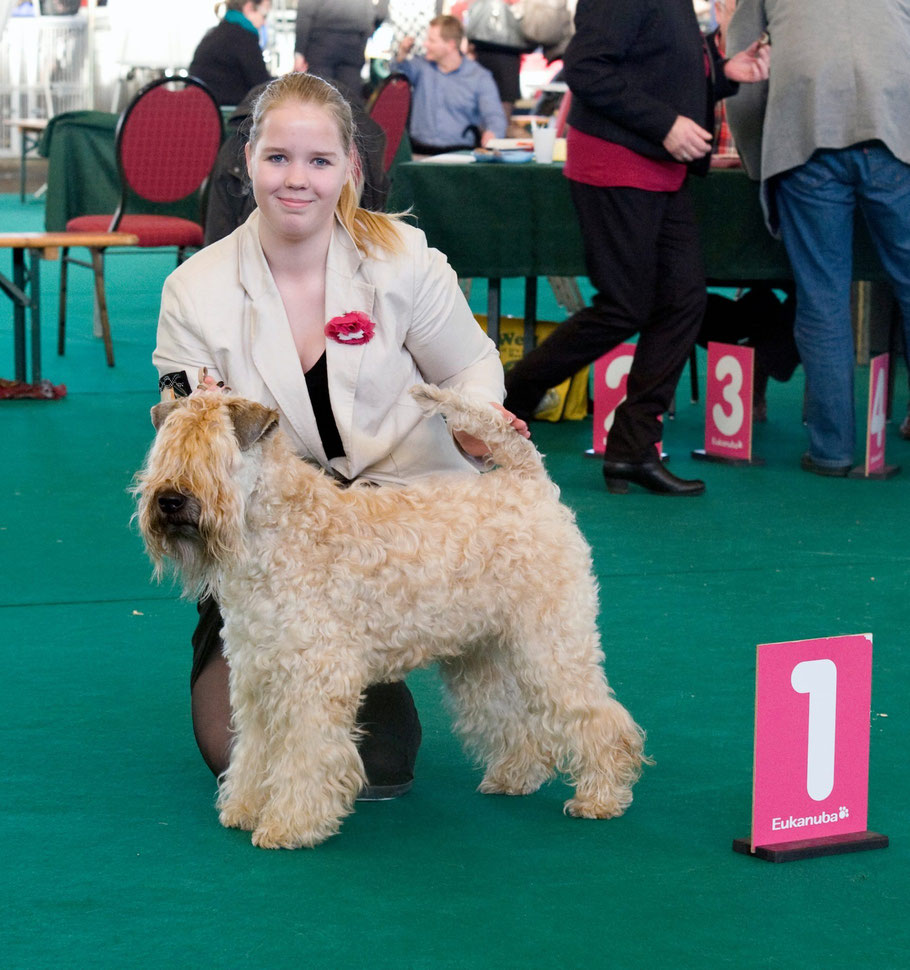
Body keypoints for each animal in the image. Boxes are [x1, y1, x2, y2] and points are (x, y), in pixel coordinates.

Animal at [134, 386, 648, 848]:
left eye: (217, 456)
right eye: (164, 451)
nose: (170, 501)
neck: (277, 532)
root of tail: (529, 482)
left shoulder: (312, 678)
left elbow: (304, 754)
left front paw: (290, 826)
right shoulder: (256, 673)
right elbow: (254, 750)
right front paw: (243, 807)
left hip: (550, 644)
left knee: (598, 718)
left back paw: (601, 797)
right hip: (480, 654)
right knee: (507, 714)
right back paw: (514, 776)